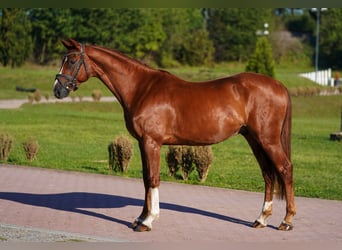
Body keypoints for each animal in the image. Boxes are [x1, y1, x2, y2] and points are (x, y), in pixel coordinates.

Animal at [52, 38, 294, 232]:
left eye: (71, 61)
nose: (57, 90)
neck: (142, 88)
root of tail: (279, 86)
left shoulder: (152, 142)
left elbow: (153, 178)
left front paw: (148, 221)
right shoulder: (143, 143)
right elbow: (145, 179)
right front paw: (140, 218)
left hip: (268, 140)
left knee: (284, 169)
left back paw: (286, 221)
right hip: (254, 140)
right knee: (268, 174)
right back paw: (261, 219)